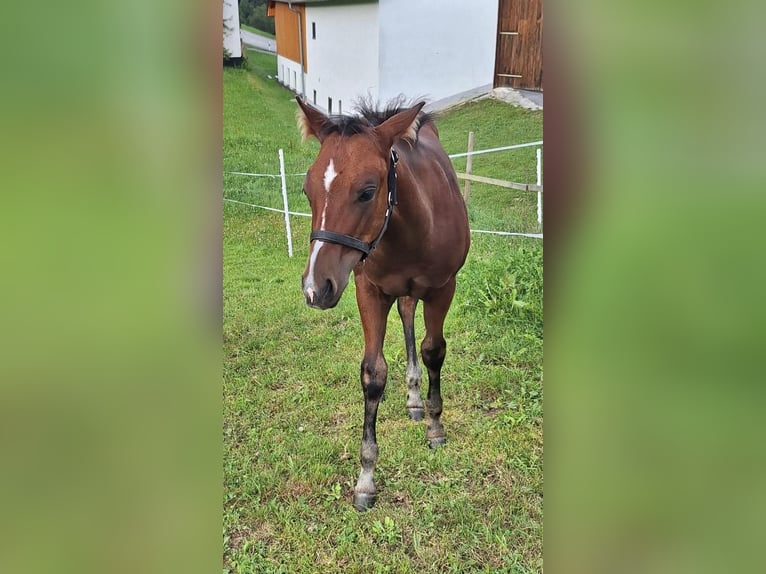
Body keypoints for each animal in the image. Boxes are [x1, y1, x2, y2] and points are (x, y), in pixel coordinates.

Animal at [295, 96, 470, 511]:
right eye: (307, 191)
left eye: (367, 190)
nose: (315, 288)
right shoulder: (368, 290)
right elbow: (373, 373)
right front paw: (366, 478)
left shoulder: (443, 289)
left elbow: (434, 350)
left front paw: (435, 426)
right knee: (406, 313)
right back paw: (412, 396)